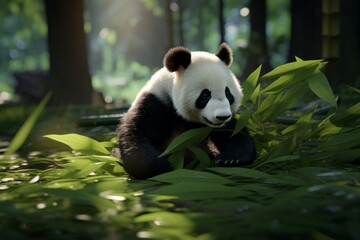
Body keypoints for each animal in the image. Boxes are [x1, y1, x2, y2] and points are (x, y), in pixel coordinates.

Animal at [118, 42, 256, 178]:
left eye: (228, 93)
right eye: (205, 95)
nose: (222, 116)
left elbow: (235, 133)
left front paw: (231, 159)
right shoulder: (155, 102)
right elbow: (136, 133)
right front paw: (161, 166)